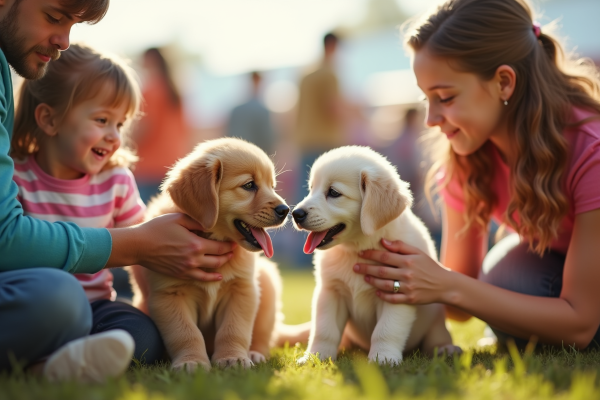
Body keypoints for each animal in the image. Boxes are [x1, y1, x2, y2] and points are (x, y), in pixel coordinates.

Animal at [130, 138, 290, 372]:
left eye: (273, 186)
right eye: (249, 185)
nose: (286, 210)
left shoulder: (241, 289)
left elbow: (234, 329)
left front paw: (233, 358)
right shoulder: (169, 295)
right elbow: (185, 333)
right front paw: (191, 362)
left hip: (267, 283)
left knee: (263, 335)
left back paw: (255, 353)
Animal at [290, 145, 460, 364]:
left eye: (334, 192)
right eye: (311, 188)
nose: (295, 214)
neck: (358, 250)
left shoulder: (396, 293)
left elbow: (386, 330)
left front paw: (383, 358)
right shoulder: (330, 292)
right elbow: (324, 330)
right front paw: (315, 357)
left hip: (436, 319)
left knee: (438, 337)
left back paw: (446, 349)